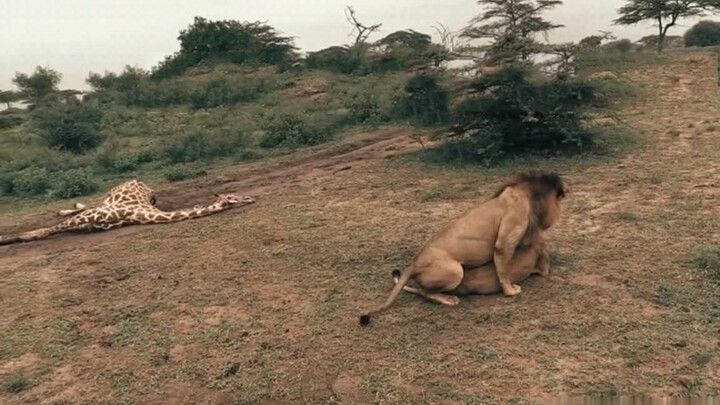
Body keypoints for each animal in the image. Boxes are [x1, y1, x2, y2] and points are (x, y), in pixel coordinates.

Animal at [358, 170, 564, 326]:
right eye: (558, 199)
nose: (558, 210)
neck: (526, 192)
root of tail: (413, 264)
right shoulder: (505, 241)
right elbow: (504, 268)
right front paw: (510, 291)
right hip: (455, 270)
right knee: (426, 292)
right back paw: (448, 299)